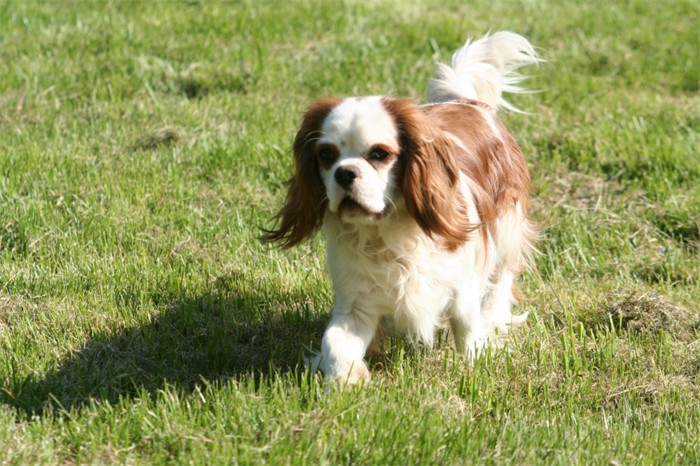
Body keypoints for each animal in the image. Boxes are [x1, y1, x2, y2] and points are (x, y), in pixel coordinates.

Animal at [262, 31, 540, 384]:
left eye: (380, 154)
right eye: (326, 155)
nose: (344, 172)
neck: (386, 232)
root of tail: (466, 102)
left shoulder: (461, 287)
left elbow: (466, 327)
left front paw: (477, 360)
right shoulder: (355, 304)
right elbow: (334, 342)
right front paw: (345, 380)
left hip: (506, 228)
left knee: (501, 277)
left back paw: (494, 316)